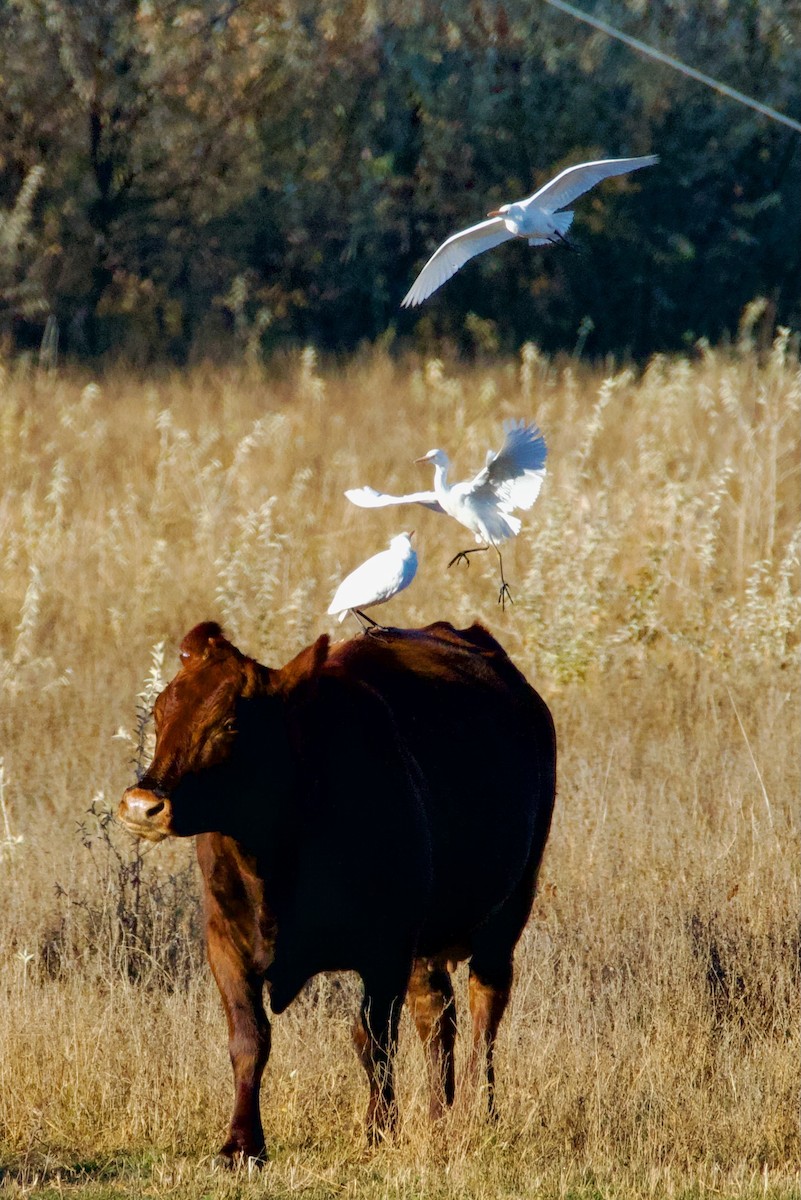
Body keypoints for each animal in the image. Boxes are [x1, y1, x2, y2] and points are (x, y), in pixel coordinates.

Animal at [117, 619, 556, 1162]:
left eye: (230, 724)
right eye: (161, 711)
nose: (143, 804)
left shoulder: (386, 950)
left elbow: (373, 1040)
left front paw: (379, 1129)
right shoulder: (224, 942)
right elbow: (249, 1039)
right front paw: (242, 1144)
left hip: (508, 910)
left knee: (485, 1008)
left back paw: (479, 1111)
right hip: (426, 942)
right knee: (436, 1014)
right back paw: (439, 1116)